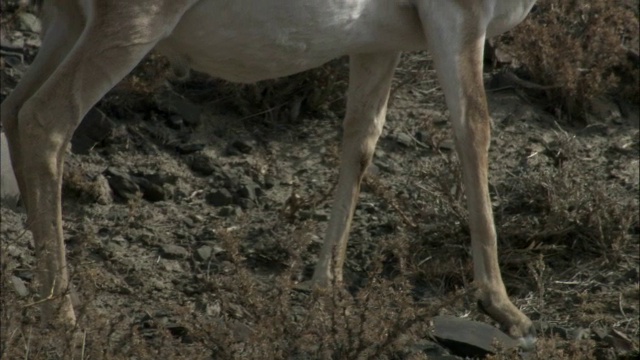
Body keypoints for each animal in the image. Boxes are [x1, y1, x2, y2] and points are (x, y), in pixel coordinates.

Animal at [1, 0, 536, 346]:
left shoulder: (378, 44)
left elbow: (360, 142)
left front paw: (327, 287)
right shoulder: (461, 19)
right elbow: (475, 130)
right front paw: (504, 307)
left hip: (68, 24)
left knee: (14, 110)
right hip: (130, 28)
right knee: (44, 123)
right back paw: (64, 320)